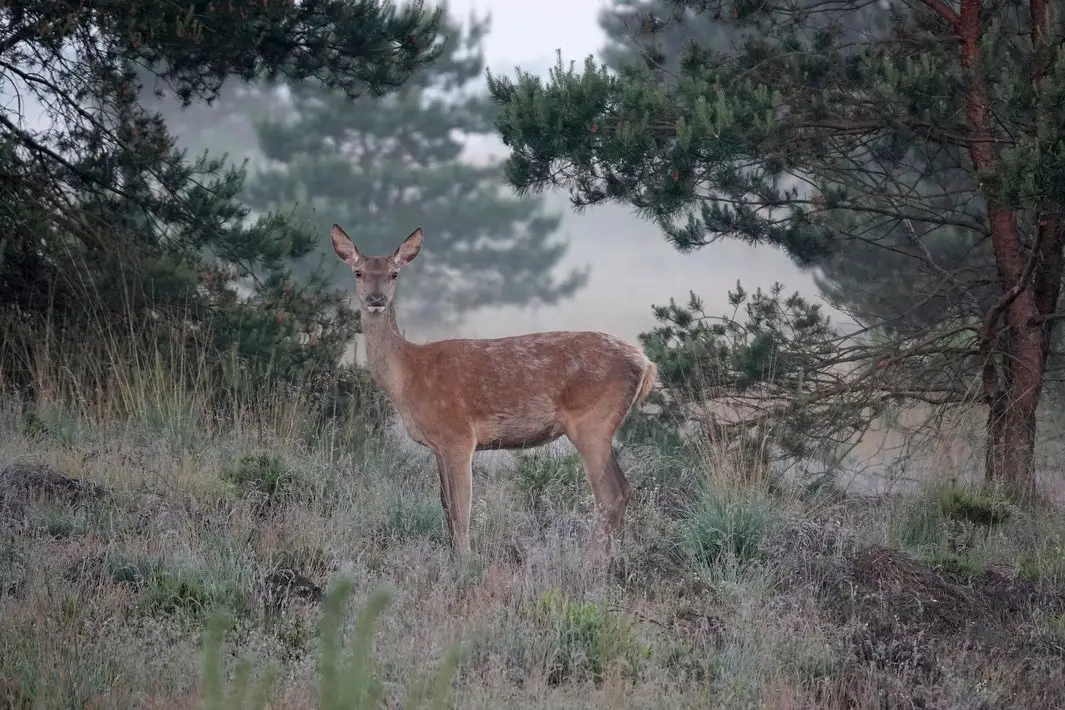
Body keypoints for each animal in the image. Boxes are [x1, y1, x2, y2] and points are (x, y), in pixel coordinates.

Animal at [328, 222, 656, 553]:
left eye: (394, 273)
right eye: (358, 272)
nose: (376, 298)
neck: (408, 377)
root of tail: (645, 363)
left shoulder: (459, 436)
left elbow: (461, 511)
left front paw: (466, 559)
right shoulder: (438, 446)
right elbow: (446, 506)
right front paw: (454, 556)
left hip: (592, 421)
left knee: (610, 495)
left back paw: (592, 558)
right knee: (622, 490)